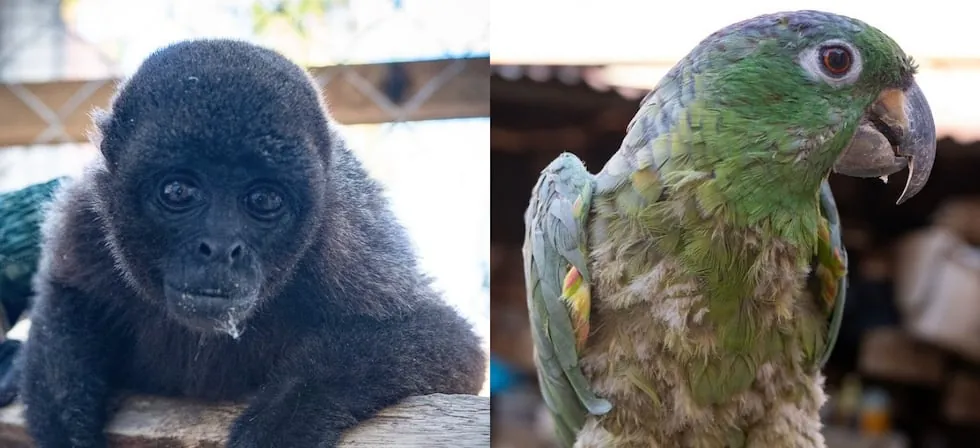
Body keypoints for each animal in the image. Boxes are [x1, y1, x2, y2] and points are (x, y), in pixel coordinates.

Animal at [9, 38, 487, 447]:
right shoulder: (84, 218)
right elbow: (63, 292)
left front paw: (281, 422)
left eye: (264, 199)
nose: (220, 248)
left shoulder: (345, 240)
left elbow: (446, 337)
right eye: (178, 192)